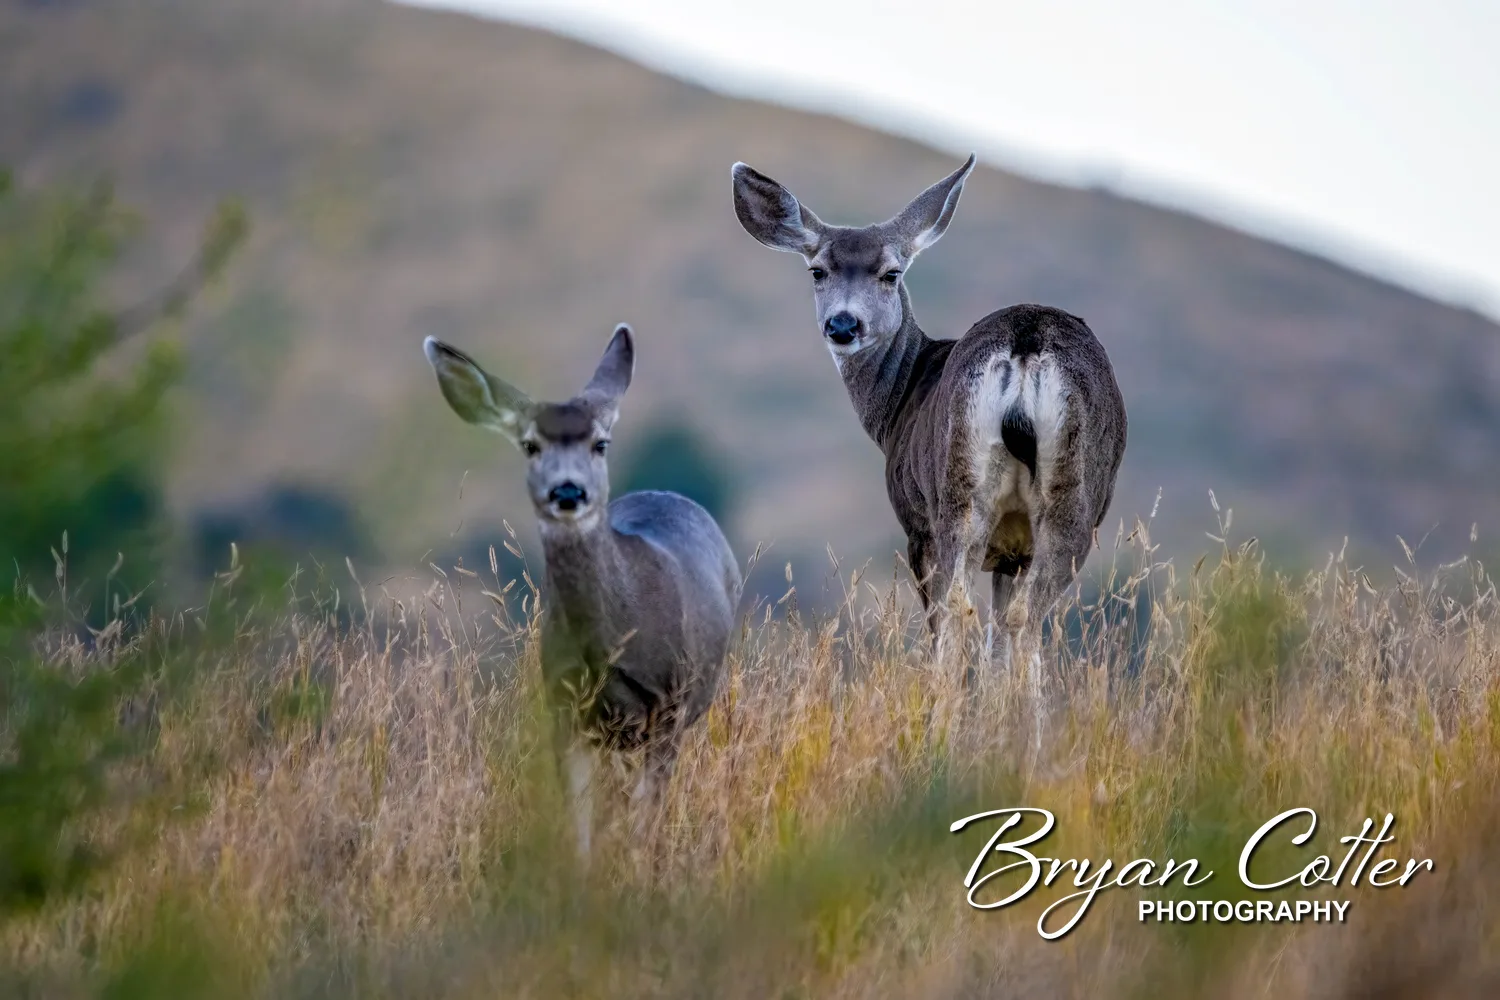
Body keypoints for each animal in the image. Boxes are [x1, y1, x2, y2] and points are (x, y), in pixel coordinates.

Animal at [422, 324, 743, 869]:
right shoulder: (564, 707)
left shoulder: (669, 702)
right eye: (530, 444)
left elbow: (645, 818)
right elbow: (579, 819)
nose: (568, 491)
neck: (610, 646)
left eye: (600, 443)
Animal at [730, 154, 1126, 713]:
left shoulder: (916, 523)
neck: (901, 399)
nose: (843, 324)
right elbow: (997, 643)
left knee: (964, 612)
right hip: (1059, 493)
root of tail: (1026, 345)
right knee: (1018, 615)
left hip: (956, 496)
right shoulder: (1012, 550)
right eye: (818, 270)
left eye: (890, 272)